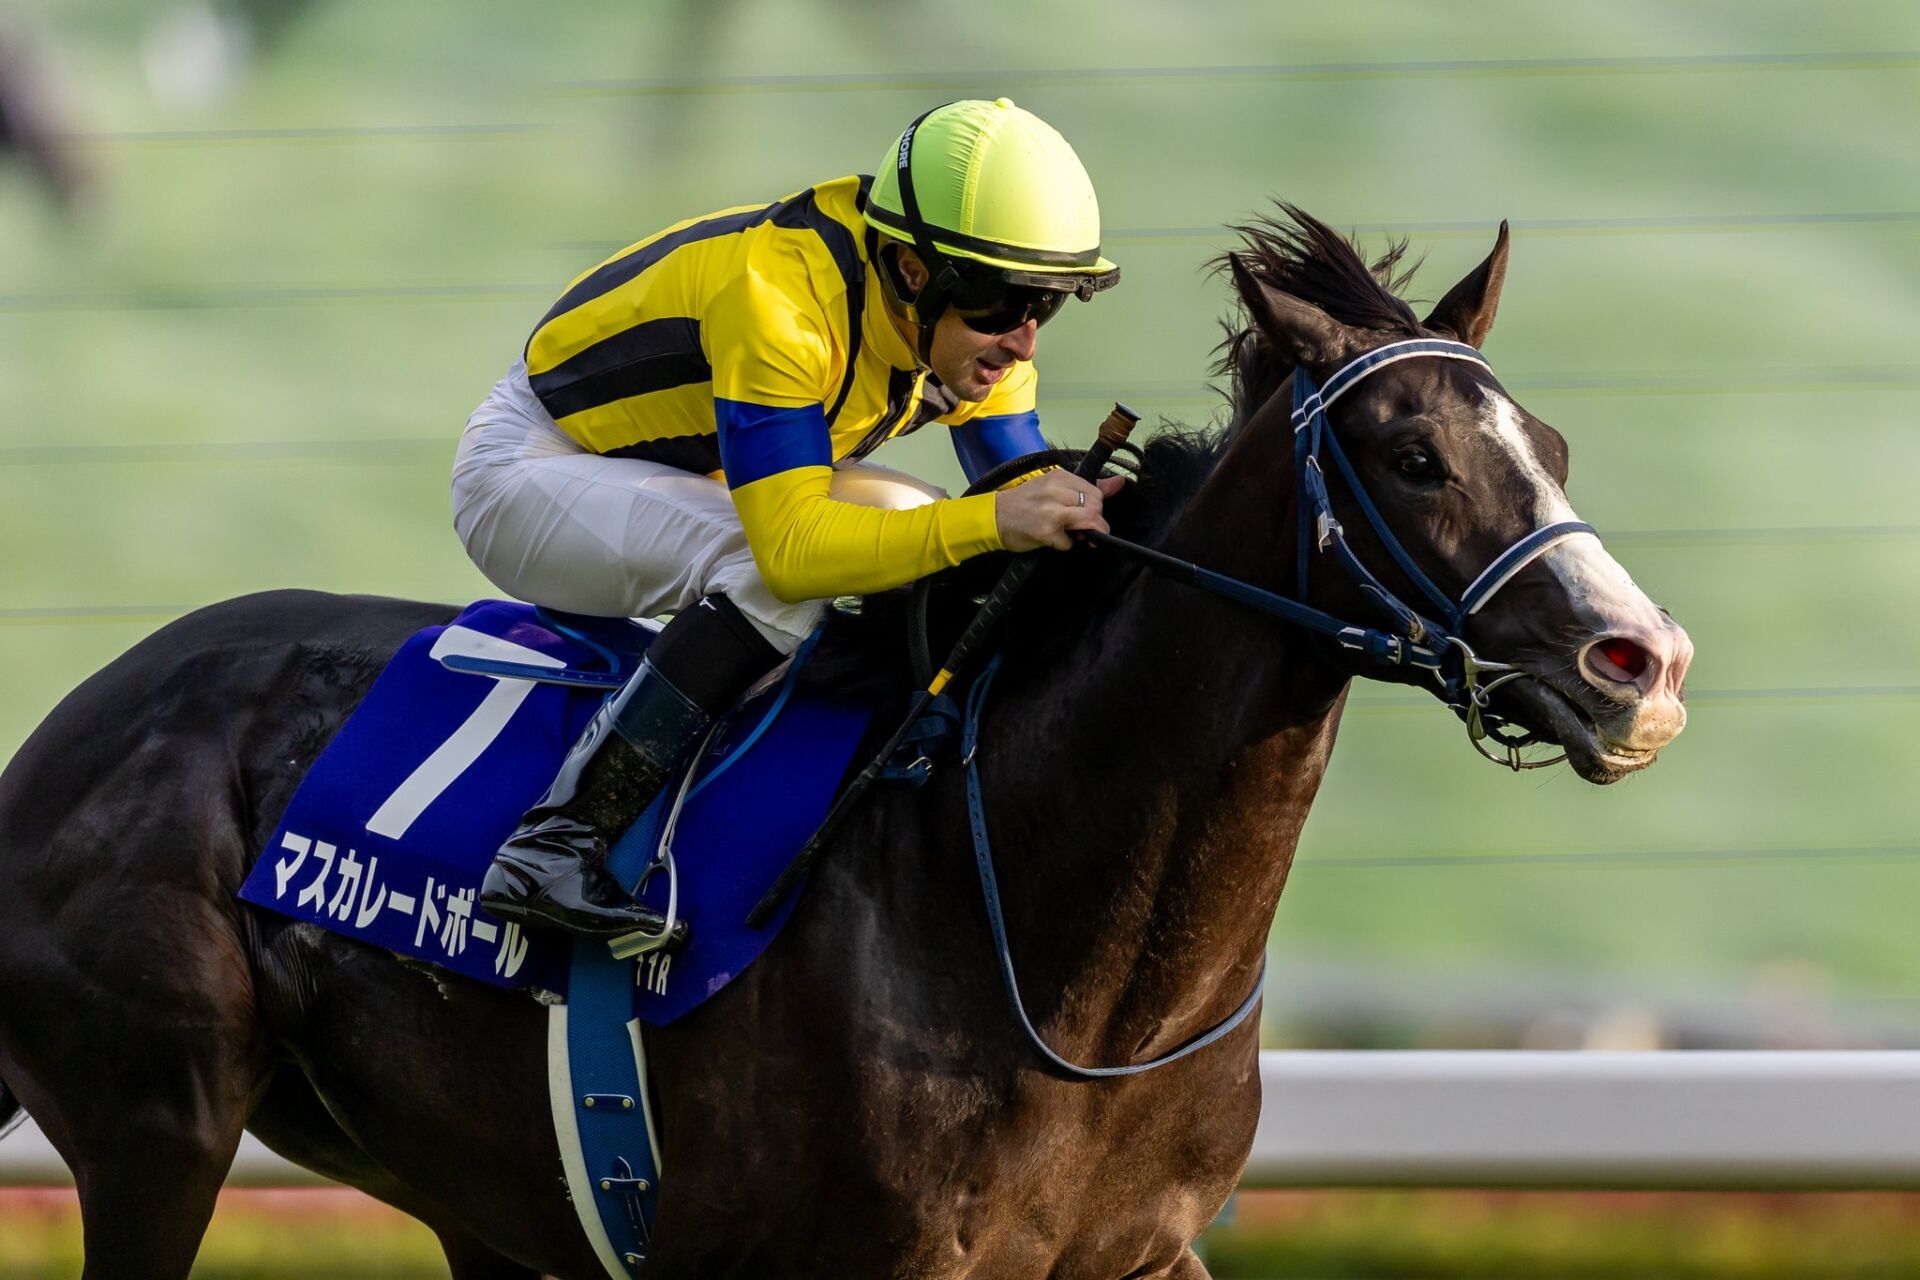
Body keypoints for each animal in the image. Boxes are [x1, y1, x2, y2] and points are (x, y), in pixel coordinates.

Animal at [0, 206, 1692, 1279]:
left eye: (1547, 445)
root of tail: (71, 728)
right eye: (1412, 457)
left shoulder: (1141, 1258)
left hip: (468, 1190)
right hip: (160, 1126)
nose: (1641, 664)